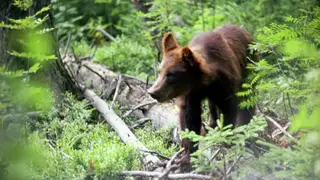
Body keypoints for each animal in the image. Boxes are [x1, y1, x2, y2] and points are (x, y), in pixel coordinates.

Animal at [148, 23, 258, 169]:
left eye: (171, 74)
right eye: (160, 71)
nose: (153, 92)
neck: (203, 83)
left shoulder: (225, 85)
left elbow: (229, 110)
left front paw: (226, 141)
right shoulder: (191, 95)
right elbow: (190, 119)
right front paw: (187, 157)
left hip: (249, 69)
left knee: (248, 102)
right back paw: (211, 125)